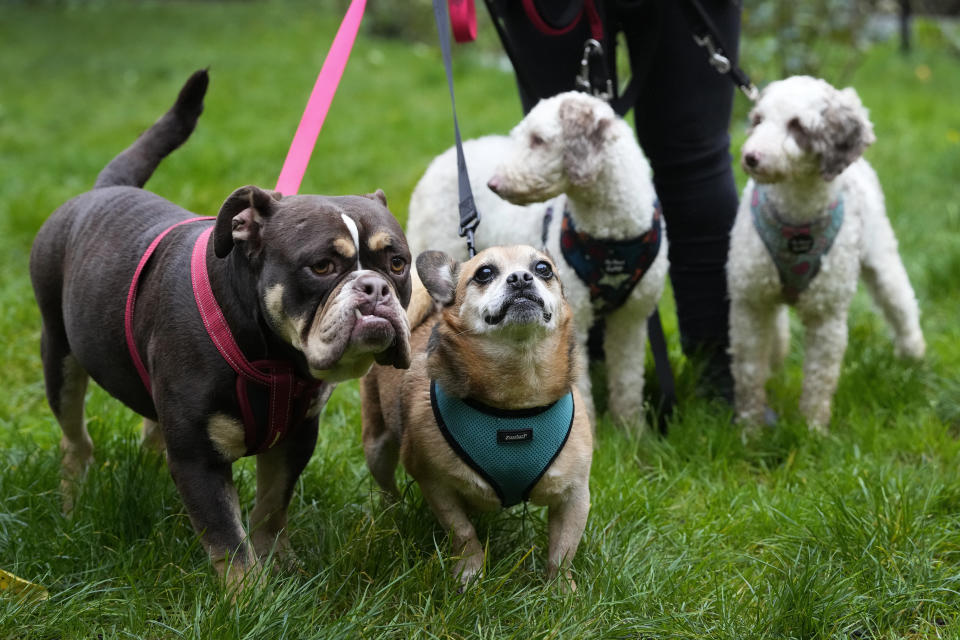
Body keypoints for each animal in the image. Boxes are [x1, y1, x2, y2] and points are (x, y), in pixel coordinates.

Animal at [362, 245, 592, 592]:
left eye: (543, 269)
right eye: (484, 273)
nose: (521, 278)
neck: (515, 401)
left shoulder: (575, 496)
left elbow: (563, 550)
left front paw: (561, 590)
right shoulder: (437, 486)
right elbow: (464, 534)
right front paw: (470, 574)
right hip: (377, 448)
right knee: (387, 486)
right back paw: (394, 512)